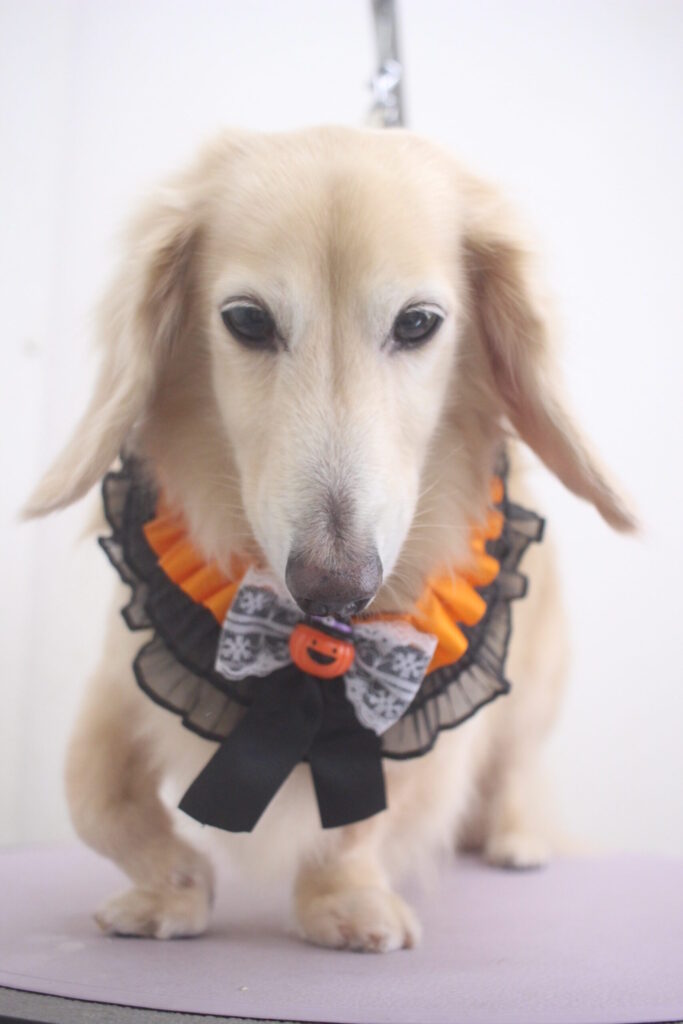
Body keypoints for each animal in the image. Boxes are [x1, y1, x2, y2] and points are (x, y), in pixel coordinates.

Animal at [25, 125, 634, 952]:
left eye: (417, 323)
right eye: (247, 320)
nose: (335, 589)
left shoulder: (412, 714)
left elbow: (358, 825)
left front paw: (344, 902)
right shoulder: (121, 675)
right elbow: (95, 797)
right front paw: (172, 889)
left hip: (532, 689)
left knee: (511, 768)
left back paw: (513, 839)